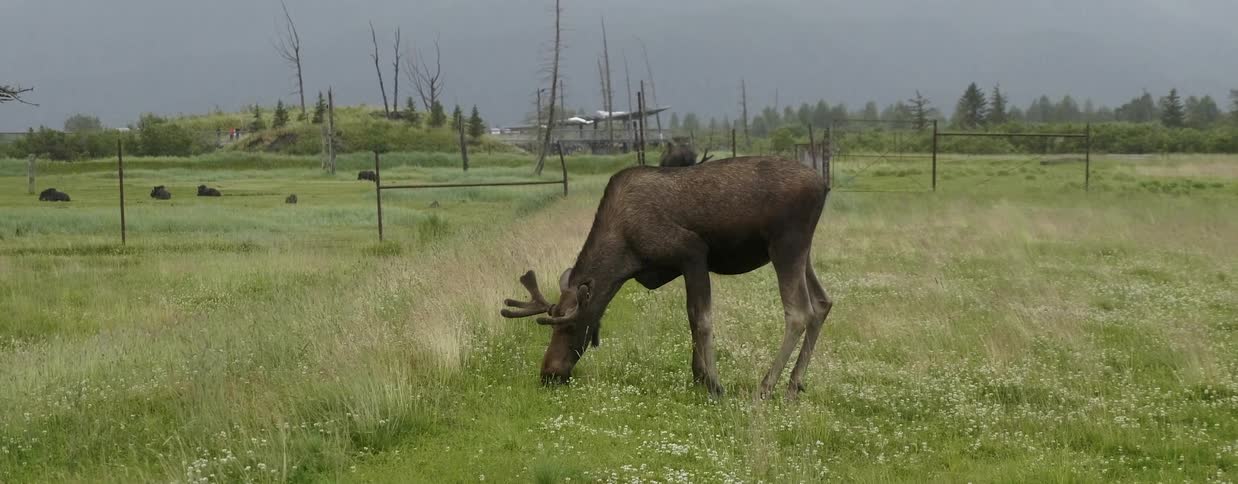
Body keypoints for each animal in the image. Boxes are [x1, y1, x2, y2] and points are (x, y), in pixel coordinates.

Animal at [501, 156, 832, 399]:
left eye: (569, 326)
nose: (548, 373)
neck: (626, 254)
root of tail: (823, 185)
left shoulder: (692, 250)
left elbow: (701, 318)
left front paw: (714, 384)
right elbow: (691, 319)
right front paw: (698, 376)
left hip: (786, 243)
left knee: (798, 312)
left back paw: (766, 386)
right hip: (802, 250)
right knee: (822, 302)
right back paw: (794, 384)